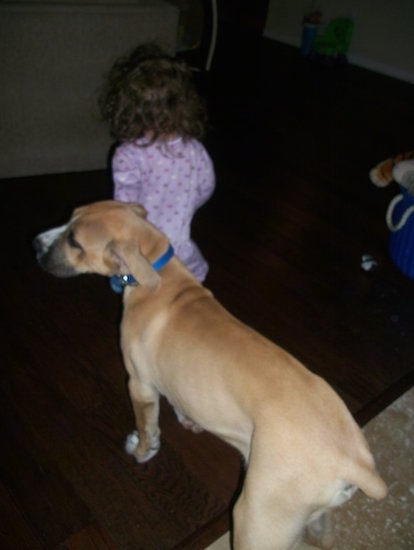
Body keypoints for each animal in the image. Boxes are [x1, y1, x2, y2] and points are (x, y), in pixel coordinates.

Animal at [34, 203, 386, 550]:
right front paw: (188, 420)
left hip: (255, 521)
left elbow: (148, 428)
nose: (36, 243)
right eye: (70, 218)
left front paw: (142, 451)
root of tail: (353, 462)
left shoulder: (139, 384)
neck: (156, 269)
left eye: (74, 241)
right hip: (310, 516)